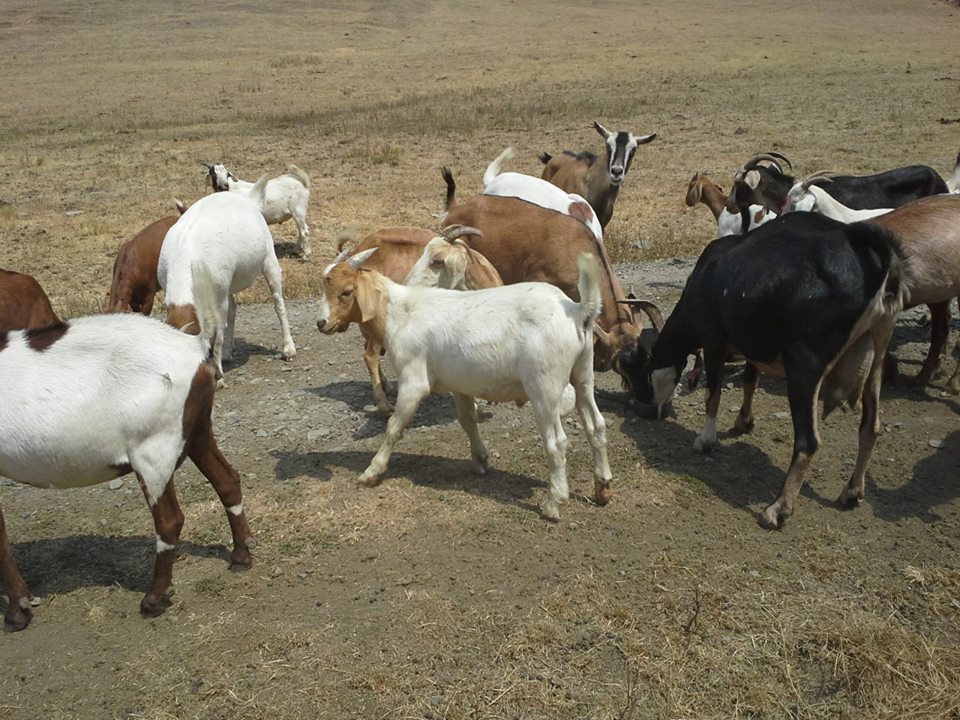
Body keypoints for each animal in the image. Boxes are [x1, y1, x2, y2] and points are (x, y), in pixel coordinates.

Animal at [0, 267, 254, 630]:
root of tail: (193, 346)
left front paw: (18, 611)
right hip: (197, 430)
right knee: (227, 480)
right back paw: (241, 555)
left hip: (153, 449)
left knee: (170, 520)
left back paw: (155, 598)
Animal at [159, 180, 296, 387]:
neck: (186, 255)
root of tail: (250, 200)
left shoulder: (218, 298)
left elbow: (218, 334)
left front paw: (219, 377)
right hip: (228, 285)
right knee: (233, 308)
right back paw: (228, 353)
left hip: (268, 261)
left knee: (278, 302)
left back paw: (288, 348)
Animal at [316, 251, 613, 521]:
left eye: (346, 292)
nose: (321, 323)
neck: (400, 313)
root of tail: (576, 310)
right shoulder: (458, 384)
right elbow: (467, 420)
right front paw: (480, 460)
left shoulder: (414, 381)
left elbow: (394, 428)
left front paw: (371, 472)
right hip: (582, 373)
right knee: (596, 425)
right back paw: (603, 487)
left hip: (544, 384)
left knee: (557, 441)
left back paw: (554, 504)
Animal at [621, 212, 903, 528]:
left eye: (639, 367)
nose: (642, 407)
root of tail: (874, 260)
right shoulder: (751, 345)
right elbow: (749, 381)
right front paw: (744, 421)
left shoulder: (714, 338)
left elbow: (713, 393)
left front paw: (705, 440)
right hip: (878, 351)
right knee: (870, 426)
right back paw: (852, 492)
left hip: (805, 364)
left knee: (809, 441)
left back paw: (778, 508)